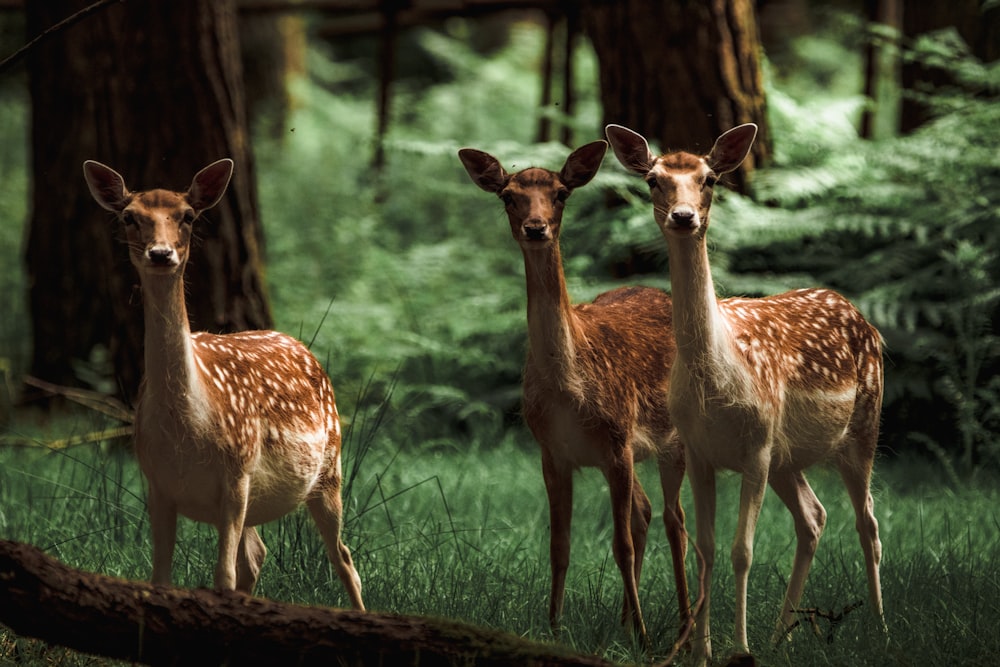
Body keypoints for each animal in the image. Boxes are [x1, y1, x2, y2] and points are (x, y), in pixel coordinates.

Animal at [82, 159, 364, 608]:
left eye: (187, 216)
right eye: (129, 216)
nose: (160, 253)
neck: (187, 426)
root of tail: (301, 346)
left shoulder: (236, 471)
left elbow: (223, 576)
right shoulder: (157, 483)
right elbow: (160, 577)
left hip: (330, 467)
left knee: (343, 556)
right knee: (258, 555)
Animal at [458, 142, 688, 648]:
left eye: (561, 193)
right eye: (508, 196)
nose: (535, 227)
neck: (569, 391)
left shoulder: (618, 441)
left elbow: (621, 545)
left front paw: (645, 637)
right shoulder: (553, 452)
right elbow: (558, 545)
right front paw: (553, 627)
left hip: (672, 439)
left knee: (674, 521)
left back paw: (681, 624)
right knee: (645, 512)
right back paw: (625, 621)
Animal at [604, 124, 888, 664]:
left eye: (710, 178)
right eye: (653, 179)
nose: (684, 216)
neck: (716, 377)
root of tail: (863, 318)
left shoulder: (755, 446)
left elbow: (742, 551)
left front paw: (739, 648)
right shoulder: (698, 450)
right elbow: (706, 549)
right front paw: (701, 652)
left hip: (862, 425)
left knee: (868, 523)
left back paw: (880, 627)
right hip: (787, 456)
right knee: (814, 517)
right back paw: (782, 635)